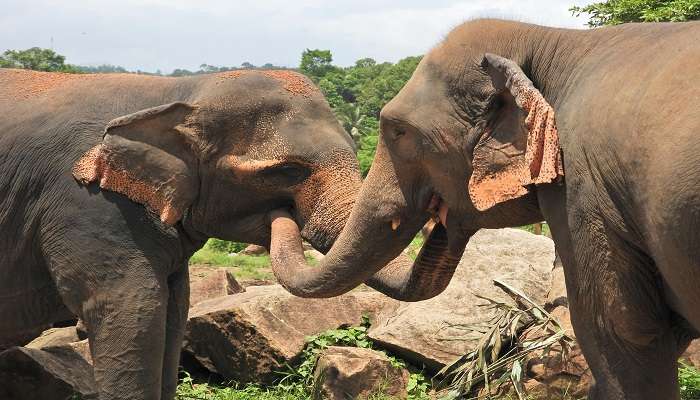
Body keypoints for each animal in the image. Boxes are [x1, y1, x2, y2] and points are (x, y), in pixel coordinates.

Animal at [0, 69, 374, 400]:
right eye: (288, 171)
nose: (283, 217)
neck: (181, 92)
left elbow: (175, 306)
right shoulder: (90, 203)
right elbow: (132, 307)